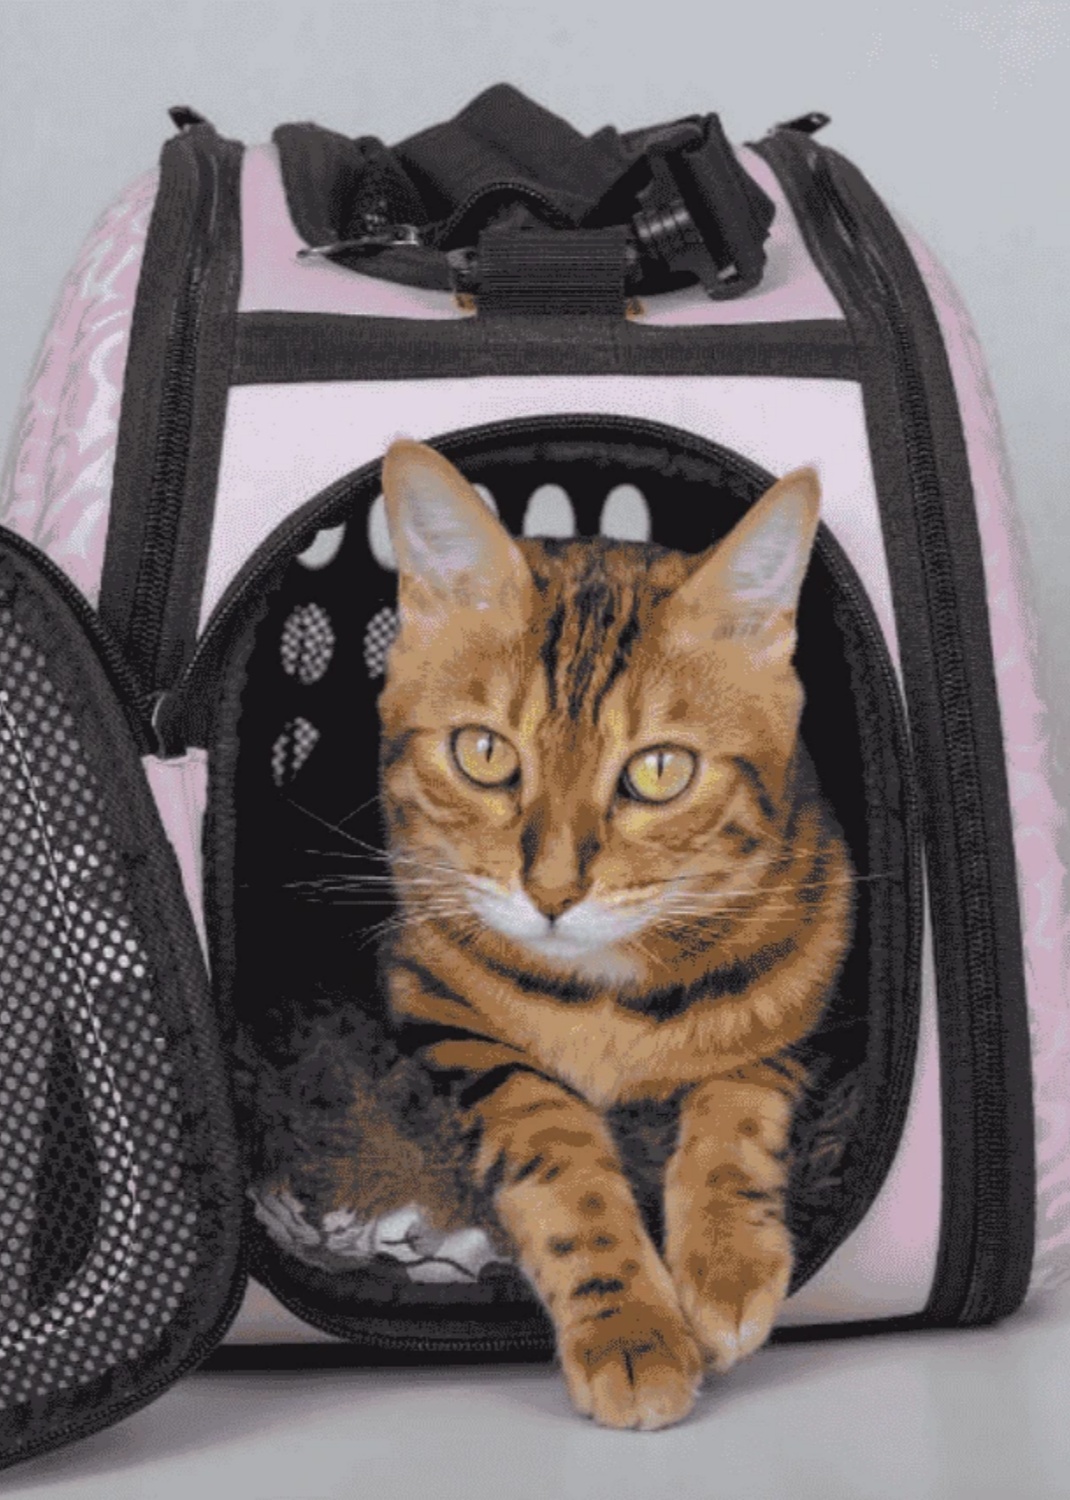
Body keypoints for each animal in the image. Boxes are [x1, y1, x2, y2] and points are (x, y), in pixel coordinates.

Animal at [323, 439, 853, 1429]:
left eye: (660, 770)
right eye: (484, 753)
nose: (553, 891)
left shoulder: (807, 989)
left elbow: (738, 1096)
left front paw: (726, 1262)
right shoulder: (438, 1006)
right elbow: (554, 1141)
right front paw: (630, 1327)